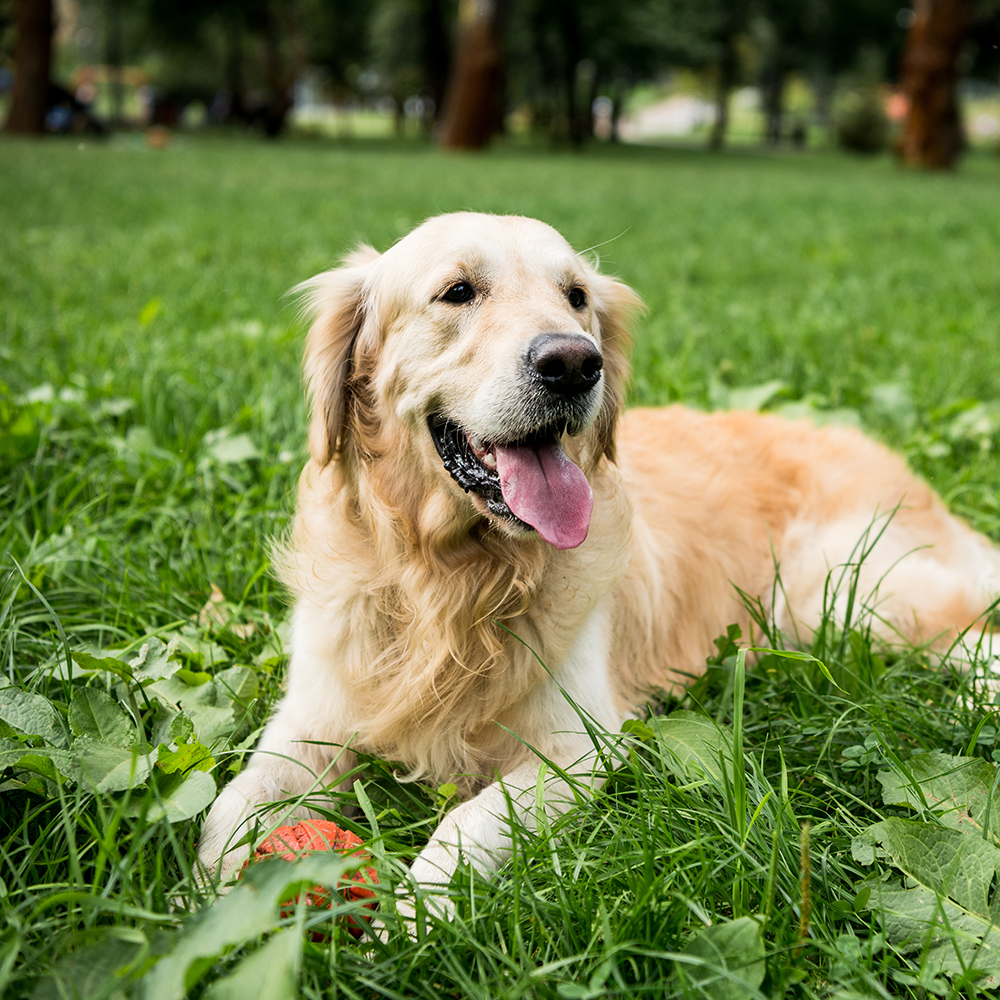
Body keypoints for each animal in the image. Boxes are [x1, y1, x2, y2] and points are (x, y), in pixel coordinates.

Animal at [199, 215, 1000, 916]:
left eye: (576, 296)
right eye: (457, 291)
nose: (575, 362)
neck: (450, 578)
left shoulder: (576, 748)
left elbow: (464, 825)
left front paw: (410, 920)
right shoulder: (307, 724)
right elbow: (228, 810)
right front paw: (198, 913)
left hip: (841, 593)